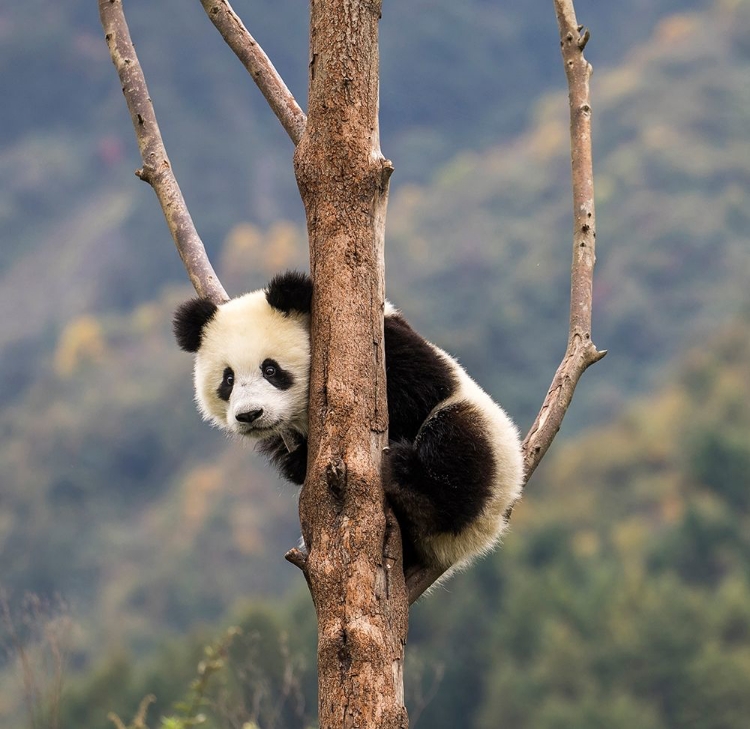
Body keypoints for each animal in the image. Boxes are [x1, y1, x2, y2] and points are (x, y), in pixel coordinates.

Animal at [173, 270, 524, 584]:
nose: (250, 414)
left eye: (271, 370)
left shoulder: (385, 344)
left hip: (493, 456)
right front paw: (297, 460)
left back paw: (412, 481)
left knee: (458, 446)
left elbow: (419, 391)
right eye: (228, 379)